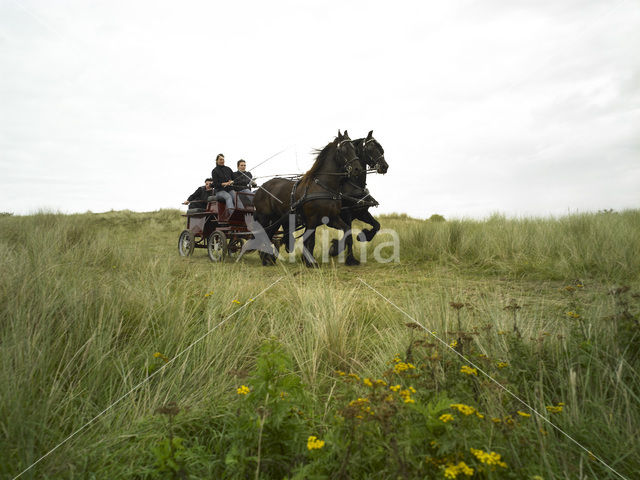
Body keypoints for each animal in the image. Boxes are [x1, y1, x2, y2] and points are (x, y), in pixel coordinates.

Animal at [255, 130, 364, 266]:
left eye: (354, 148)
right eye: (343, 149)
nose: (358, 169)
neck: (323, 187)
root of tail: (260, 189)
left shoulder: (332, 218)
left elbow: (347, 232)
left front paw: (339, 252)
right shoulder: (312, 220)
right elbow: (310, 242)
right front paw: (311, 263)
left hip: (276, 219)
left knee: (268, 235)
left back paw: (267, 259)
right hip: (265, 218)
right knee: (264, 235)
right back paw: (265, 258)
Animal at [330, 131, 390, 264]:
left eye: (381, 149)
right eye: (370, 148)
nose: (384, 166)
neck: (353, 186)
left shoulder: (361, 212)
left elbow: (377, 225)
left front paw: (364, 235)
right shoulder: (346, 214)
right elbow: (348, 236)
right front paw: (348, 258)